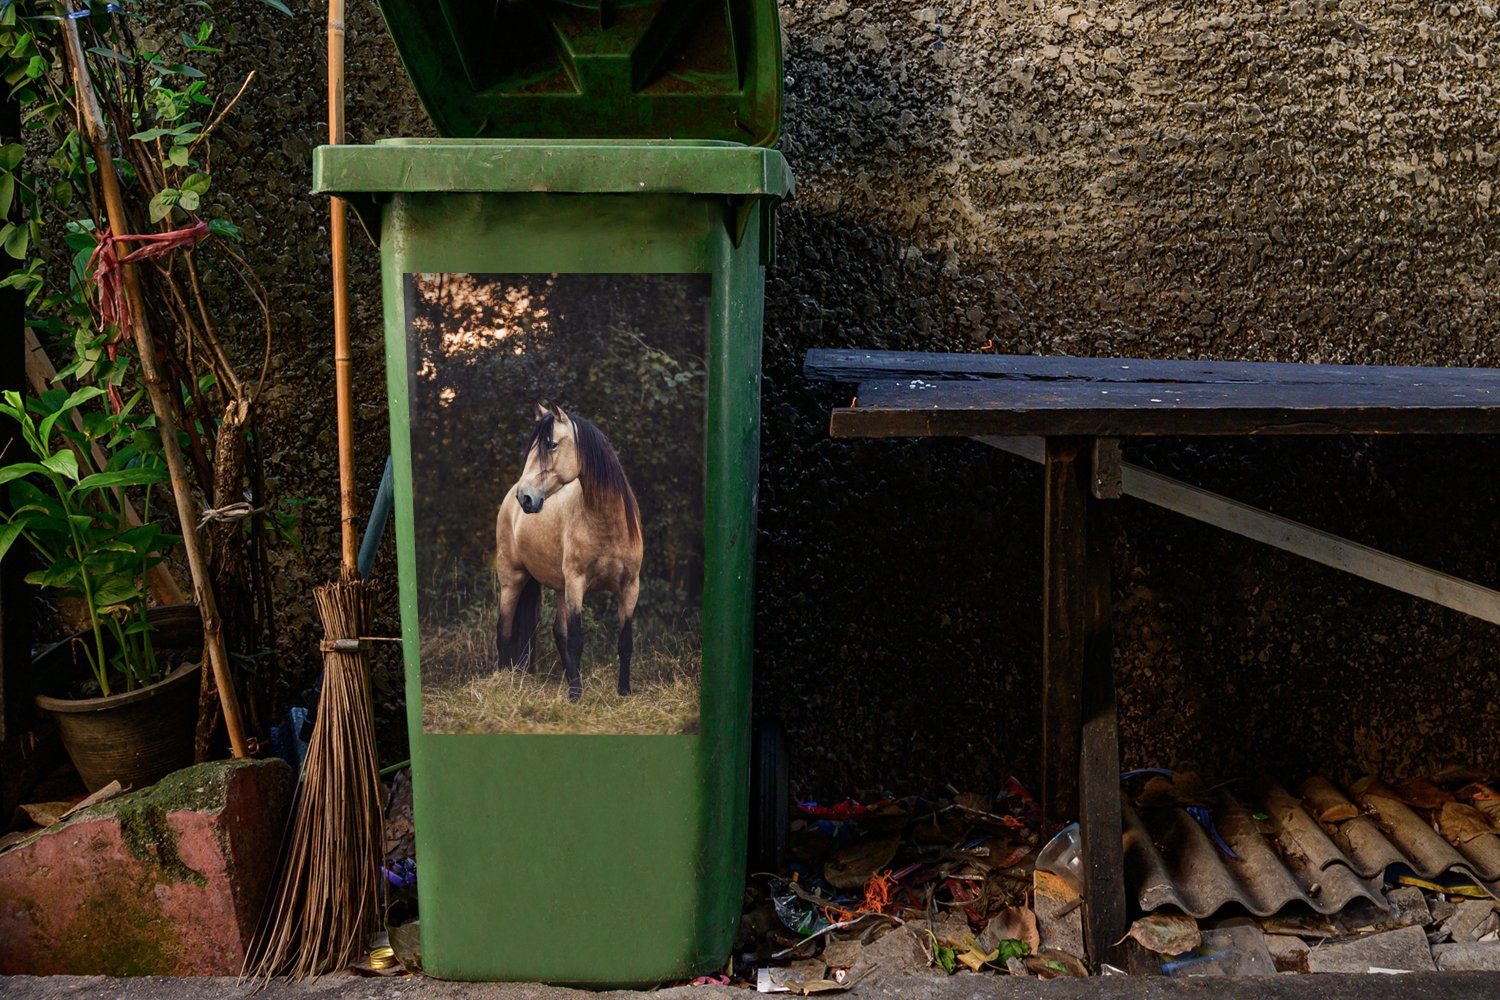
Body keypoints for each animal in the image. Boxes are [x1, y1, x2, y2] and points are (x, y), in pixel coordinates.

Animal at [495, 401, 642, 701]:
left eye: (551, 444)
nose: (525, 497)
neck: (607, 523)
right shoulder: (577, 584)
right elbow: (576, 639)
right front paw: (576, 695)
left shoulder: (630, 587)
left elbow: (625, 642)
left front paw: (623, 692)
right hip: (512, 579)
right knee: (504, 629)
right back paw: (504, 681)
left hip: (559, 588)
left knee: (557, 633)